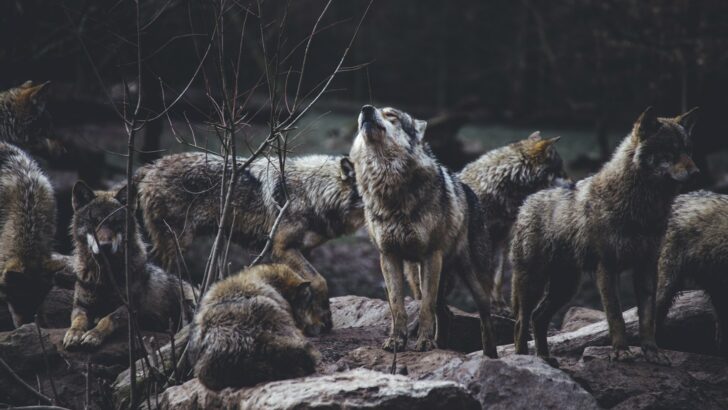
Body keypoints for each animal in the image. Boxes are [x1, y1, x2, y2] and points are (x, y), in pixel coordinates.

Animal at [63, 182, 196, 349]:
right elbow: (78, 320)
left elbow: (108, 318)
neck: (106, 275)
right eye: (95, 222)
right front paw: (73, 334)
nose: (105, 246)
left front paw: (94, 335)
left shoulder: (130, 308)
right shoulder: (81, 305)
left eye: (115, 223)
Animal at [136, 153, 363, 334]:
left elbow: (308, 286)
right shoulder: (283, 248)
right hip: (176, 245)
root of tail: (151, 166)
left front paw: (316, 322)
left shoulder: (304, 250)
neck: (313, 192)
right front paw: (324, 319)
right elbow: (320, 281)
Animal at [349, 104, 496, 357]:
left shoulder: (431, 256)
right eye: (369, 110)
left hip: (472, 280)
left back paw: (490, 355)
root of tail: (469, 190)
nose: (366, 109)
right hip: (419, 276)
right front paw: (396, 341)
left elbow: (426, 307)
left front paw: (425, 343)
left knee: (484, 317)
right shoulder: (388, 256)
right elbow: (397, 306)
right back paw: (443, 345)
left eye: (391, 115)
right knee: (445, 313)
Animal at [510, 107, 699, 366]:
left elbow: (647, 319)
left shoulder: (646, 268)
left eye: (688, 150)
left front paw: (653, 352)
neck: (642, 207)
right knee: (522, 321)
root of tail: (527, 202)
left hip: (566, 287)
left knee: (538, 317)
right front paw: (621, 352)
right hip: (534, 283)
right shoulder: (607, 268)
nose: (696, 172)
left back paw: (545, 358)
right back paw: (524, 359)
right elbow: (616, 316)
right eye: (670, 150)